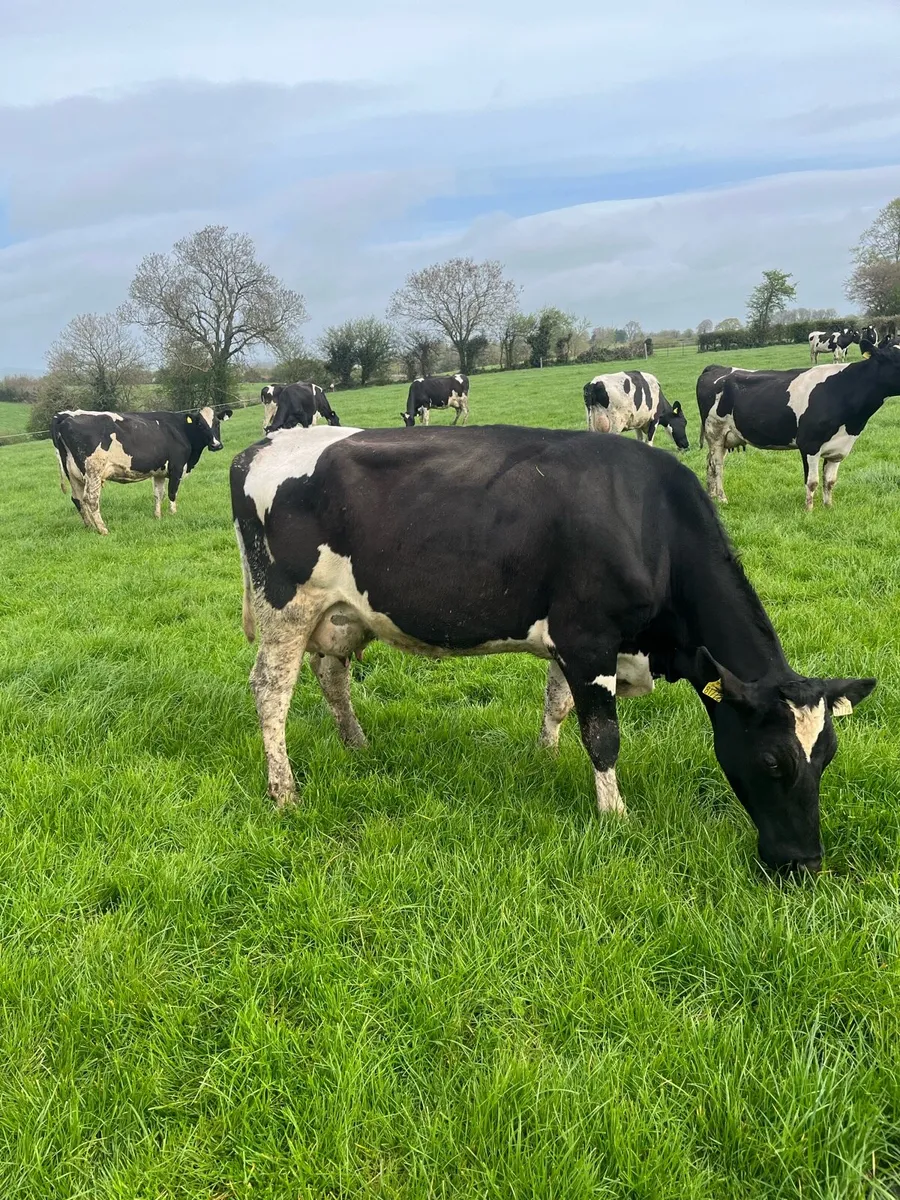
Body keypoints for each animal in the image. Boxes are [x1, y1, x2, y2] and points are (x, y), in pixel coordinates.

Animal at [51, 405, 228, 535]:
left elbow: (158, 494)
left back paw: (89, 526)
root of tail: (65, 416)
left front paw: (158, 516)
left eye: (217, 423)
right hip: (93, 470)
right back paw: (103, 529)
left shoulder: (159, 471)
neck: (180, 429)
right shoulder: (176, 467)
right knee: (91, 499)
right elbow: (172, 493)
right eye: (200, 424)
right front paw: (173, 514)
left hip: (73, 474)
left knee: (77, 499)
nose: (216, 445)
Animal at [230, 423, 875, 875]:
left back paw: (357, 746)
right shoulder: (589, 640)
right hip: (285, 610)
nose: (805, 864)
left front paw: (544, 760)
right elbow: (604, 735)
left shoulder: (579, 645)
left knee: (332, 677)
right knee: (271, 693)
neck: (650, 522)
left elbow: (558, 705)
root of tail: (258, 447)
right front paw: (614, 815)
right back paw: (284, 792)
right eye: (772, 761)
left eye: (827, 757)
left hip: (339, 617)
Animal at [703, 340, 900, 509]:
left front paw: (828, 507)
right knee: (717, 465)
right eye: (896, 359)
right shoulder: (809, 445)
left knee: (709, 463)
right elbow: (812, 482)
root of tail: (716, 367)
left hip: (726, 437)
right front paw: (809, 511)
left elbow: (830, 481)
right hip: (715, 432)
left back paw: (711, 495)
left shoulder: (838, 449)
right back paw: (722, 498)